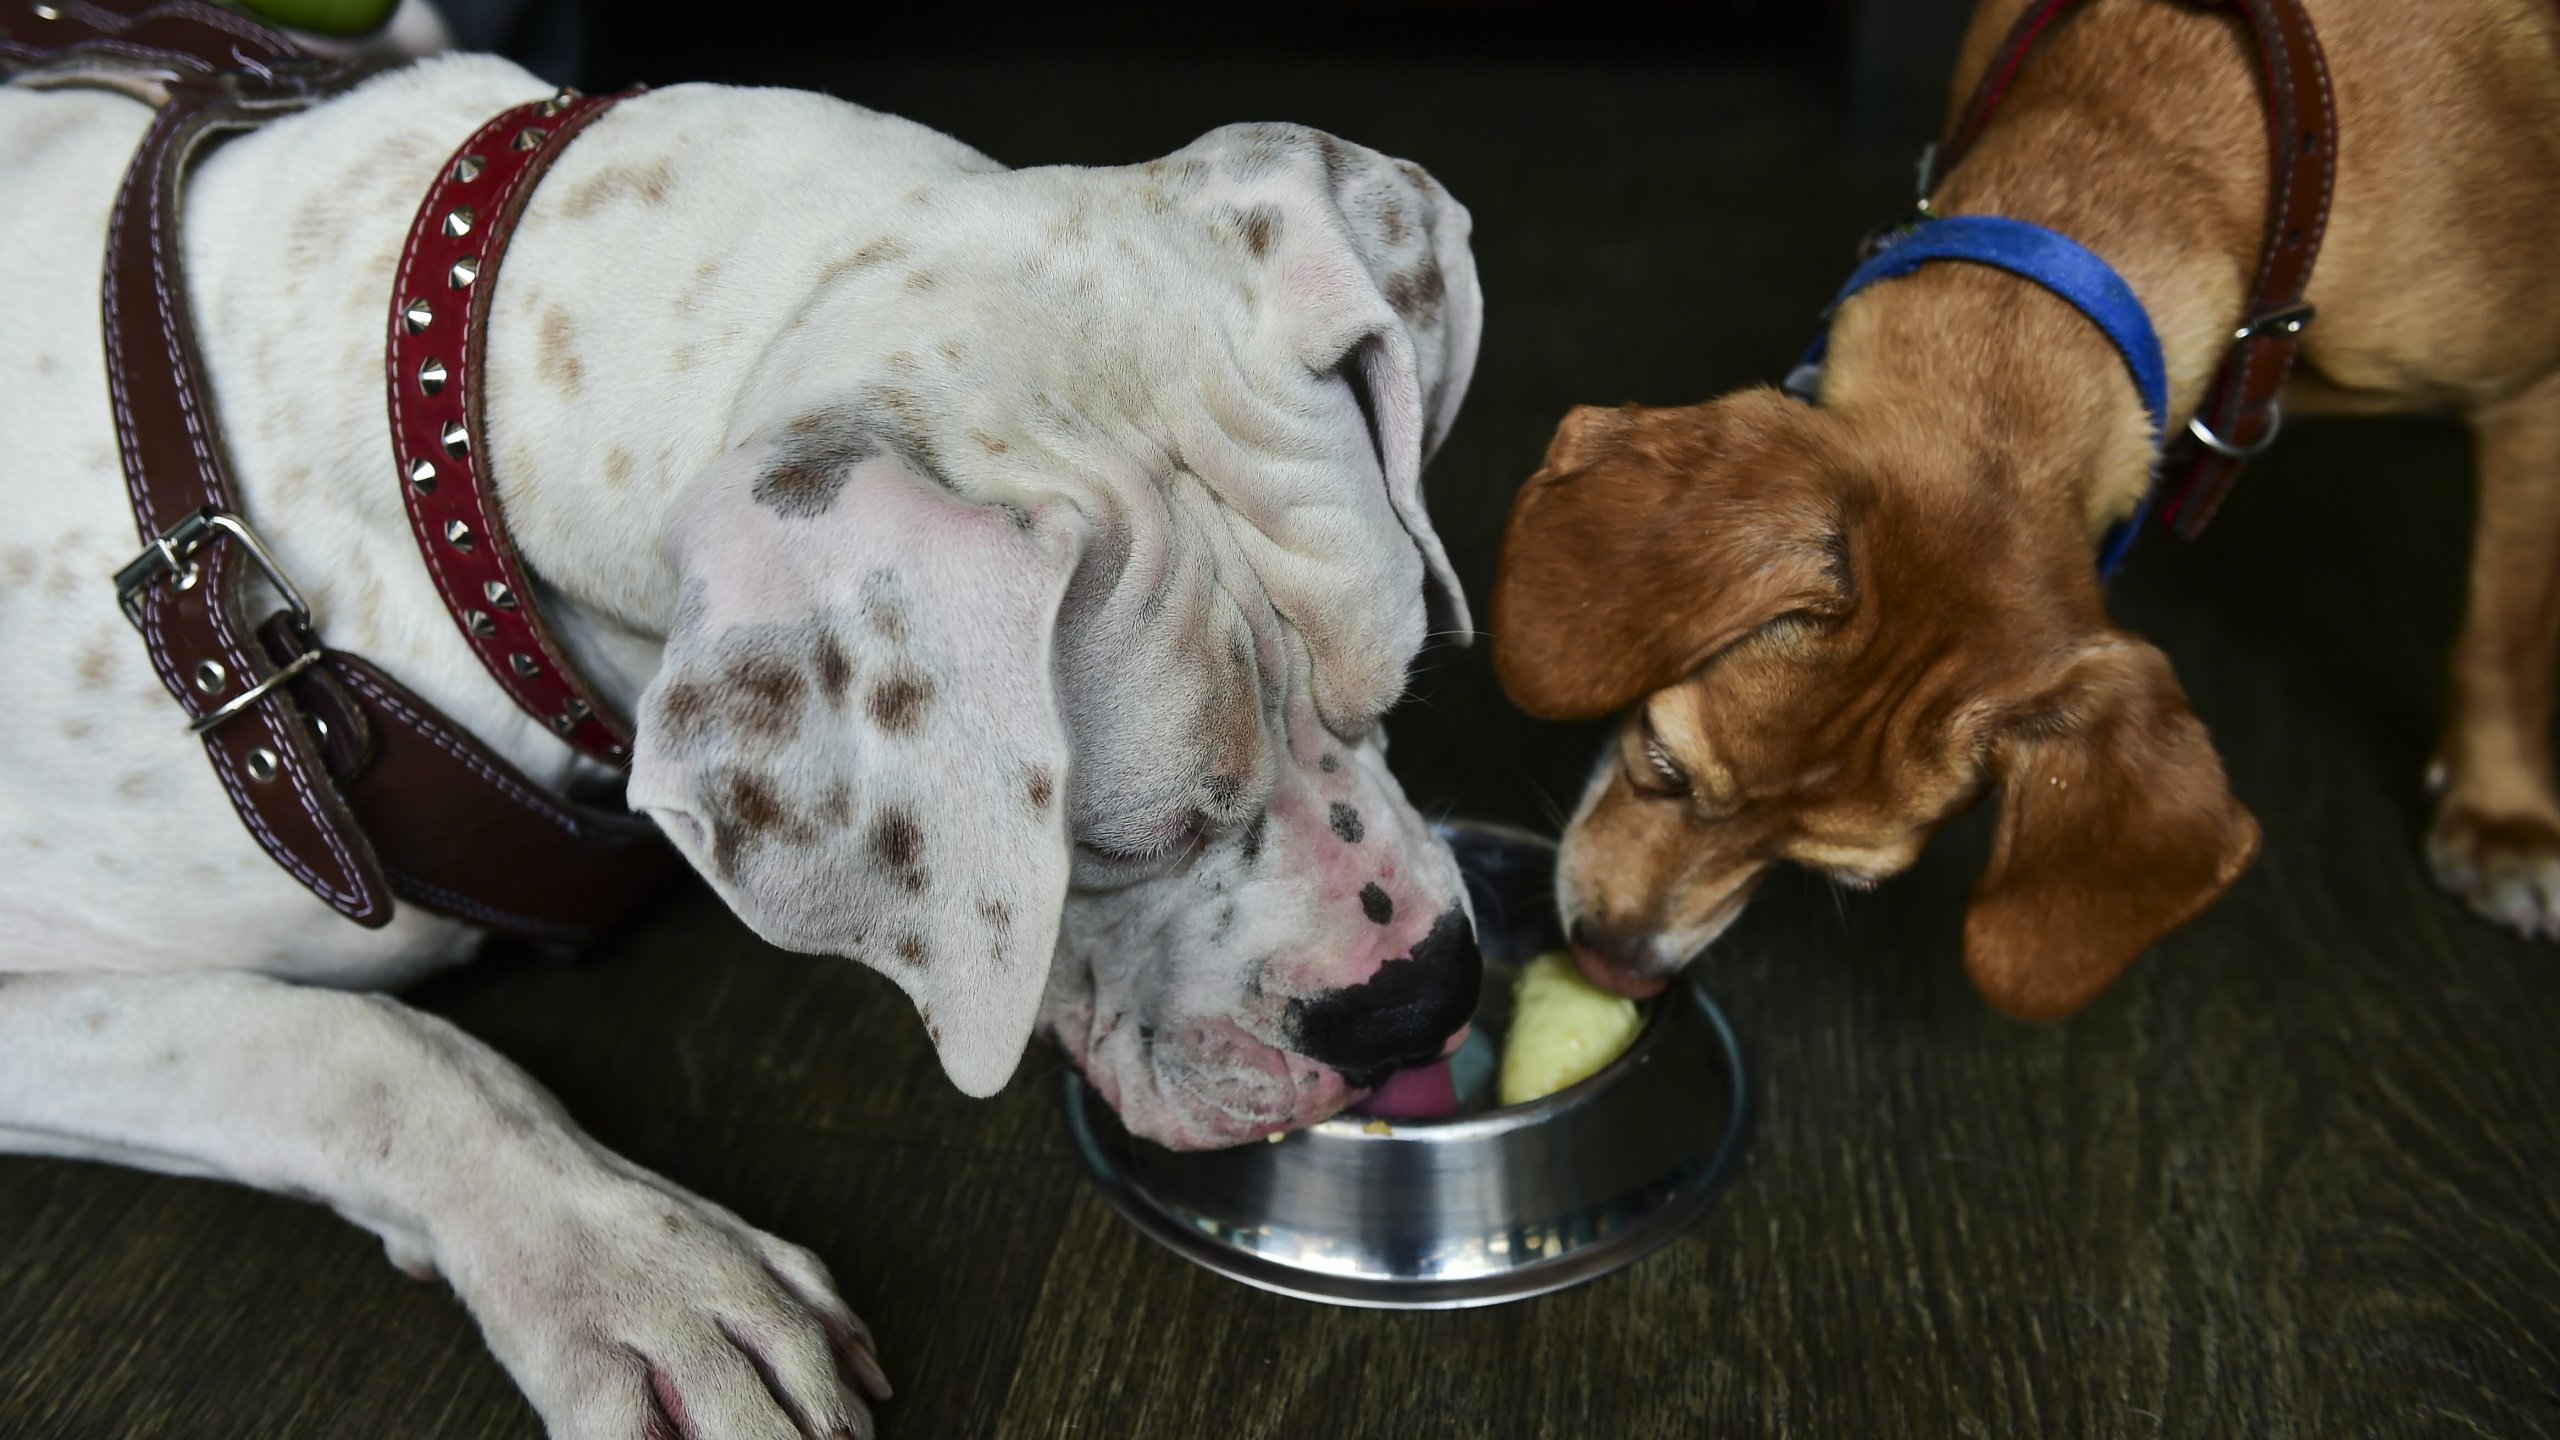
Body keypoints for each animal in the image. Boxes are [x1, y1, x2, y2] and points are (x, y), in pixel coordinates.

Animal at [1495, 0, 2560, 1009]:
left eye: (1839, 878)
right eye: (1662, 760)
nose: (1615, 967)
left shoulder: (2531, 396)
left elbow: (2506, 634)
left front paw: (2503, 817)